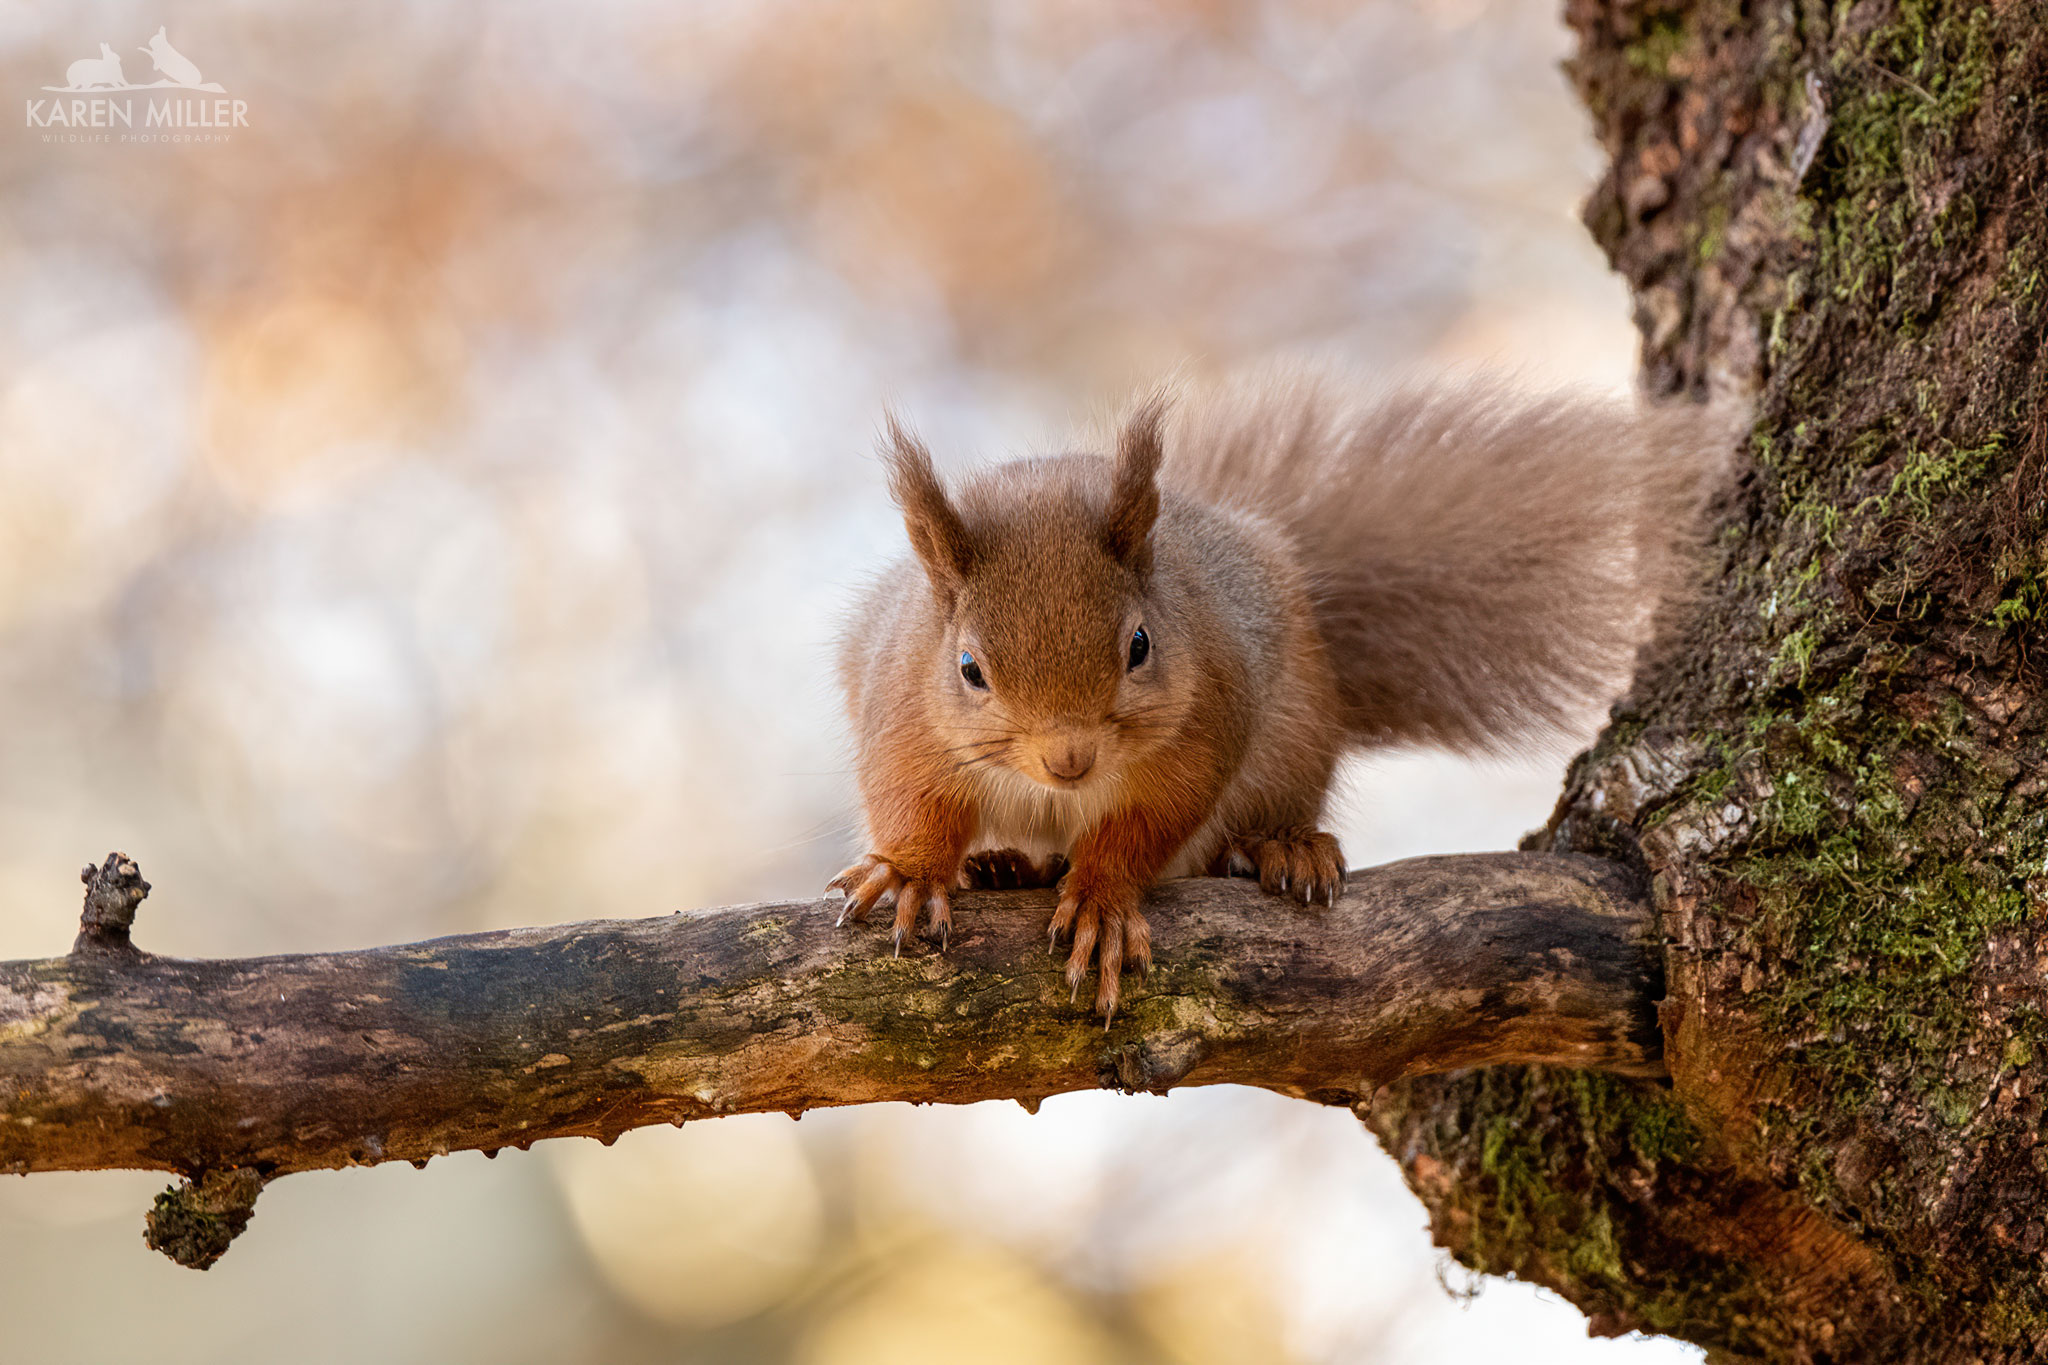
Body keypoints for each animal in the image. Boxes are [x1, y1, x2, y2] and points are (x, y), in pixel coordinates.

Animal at [823, 368, 1720, 1019]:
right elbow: (909, 797)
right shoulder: (899, 710)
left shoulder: (1208, 716)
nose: (1068, 759)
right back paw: (1006, 863)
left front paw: (1104, 898)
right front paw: (914, 871)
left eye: (1140, 646)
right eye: (969, 667)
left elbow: (1153, 820)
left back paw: (1281, 846)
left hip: (1295, 734)